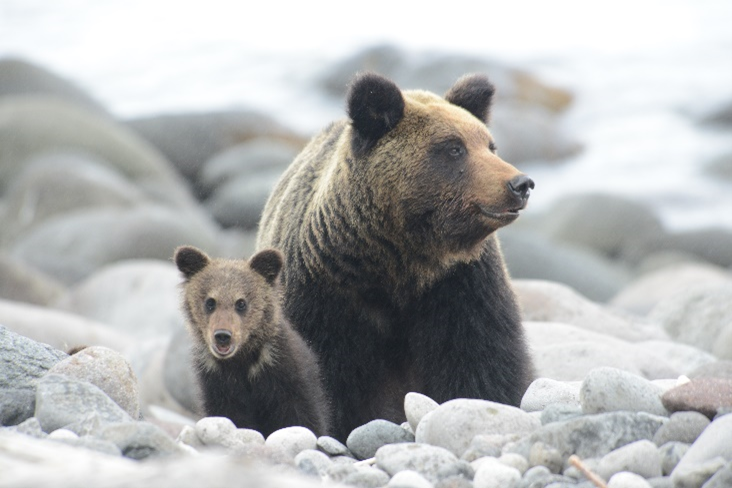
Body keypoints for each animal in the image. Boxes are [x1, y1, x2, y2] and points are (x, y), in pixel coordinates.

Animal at [260, 72, 536, 442]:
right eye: (454, 148)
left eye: (490, 145)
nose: (520, 183)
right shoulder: (324, 296)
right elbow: (326, 379)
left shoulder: (461, 287)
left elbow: (484, 360)